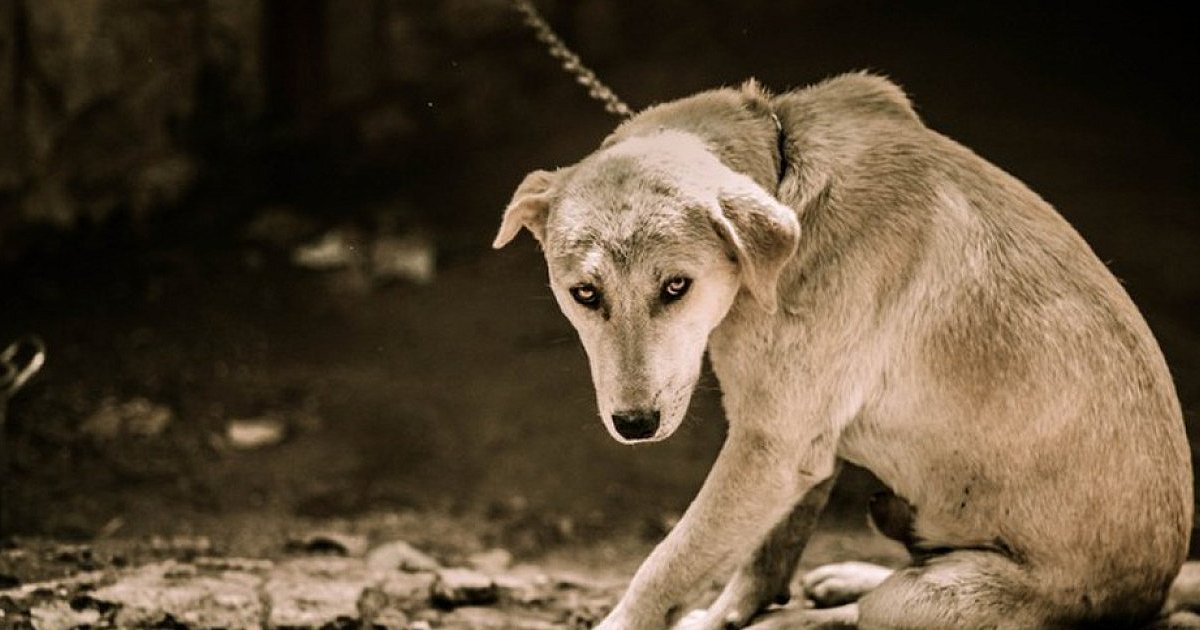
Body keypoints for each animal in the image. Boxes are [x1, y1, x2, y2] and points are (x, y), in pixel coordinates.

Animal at [487, 71, 1190, 624]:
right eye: (584, 294)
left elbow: (669, 560)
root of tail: (1154, 593)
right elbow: (763, 559)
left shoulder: (771, 448)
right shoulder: (796, 451)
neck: (785, 175)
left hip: (920, 603)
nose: (634, 425)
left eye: (676, 286)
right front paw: (724, 616)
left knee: (874, 609)